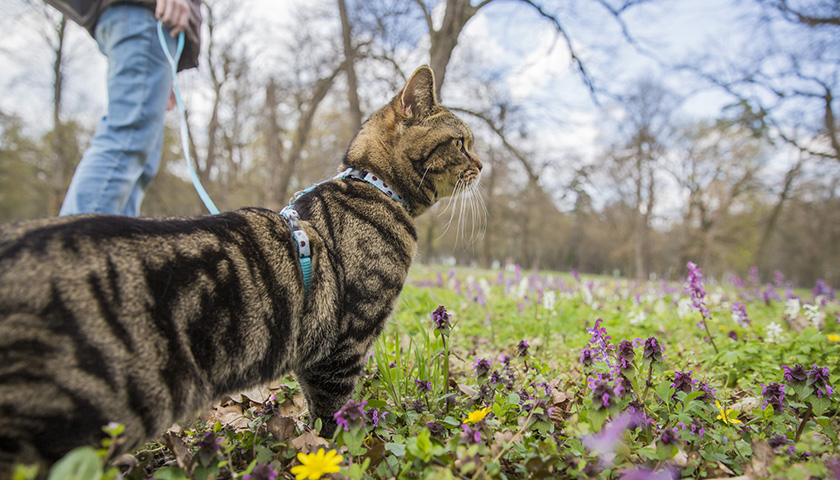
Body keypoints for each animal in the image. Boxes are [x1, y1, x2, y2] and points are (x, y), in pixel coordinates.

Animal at [0, 66, 482, 476]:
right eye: (461, 142)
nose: (481, 165)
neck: (375, 186)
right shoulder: (342, 346)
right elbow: (333, 419)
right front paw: (343, 456)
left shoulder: (314, 355)